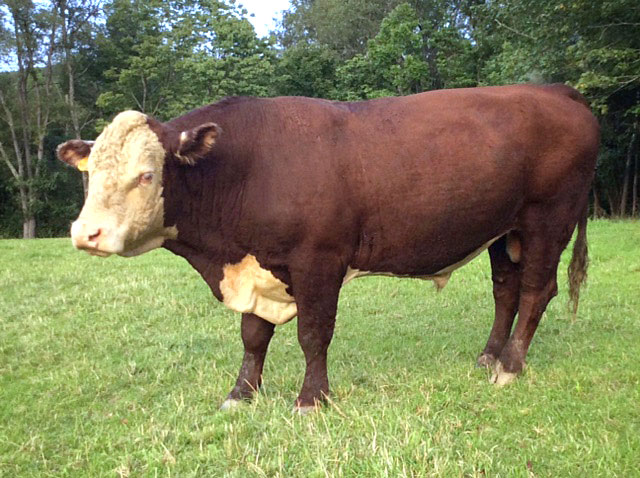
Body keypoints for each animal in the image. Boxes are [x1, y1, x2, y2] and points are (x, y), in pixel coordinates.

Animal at [57, 84, 599, 412]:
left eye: (146, 175)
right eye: (91, 173)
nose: (86, 233)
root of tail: (554, 90)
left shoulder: (318, 261)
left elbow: (313, 334)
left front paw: (311, 399)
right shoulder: (257, 264)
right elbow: (253, 336)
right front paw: (241, 394)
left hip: (547, 220)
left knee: (536, 290)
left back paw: (510, 366)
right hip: (502, 232)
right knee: (506, 291)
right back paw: (489, 356)